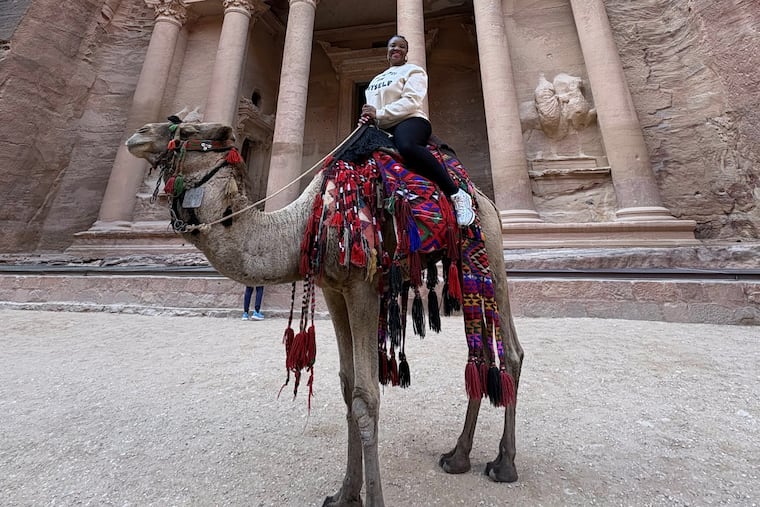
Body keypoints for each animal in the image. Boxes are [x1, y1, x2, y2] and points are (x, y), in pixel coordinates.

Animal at [126, 117, 524, 507]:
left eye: (189, 131)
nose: (137, 134)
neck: (305, 222)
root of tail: (482, 197)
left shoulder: (363, 286)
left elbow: (366, 395)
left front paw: (371, 498)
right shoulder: (333, 289)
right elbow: (348, 388)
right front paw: (345, 494)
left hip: (489, 248)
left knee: (512, 353)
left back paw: (504, 464)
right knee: (479, 353)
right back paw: (458, 457)